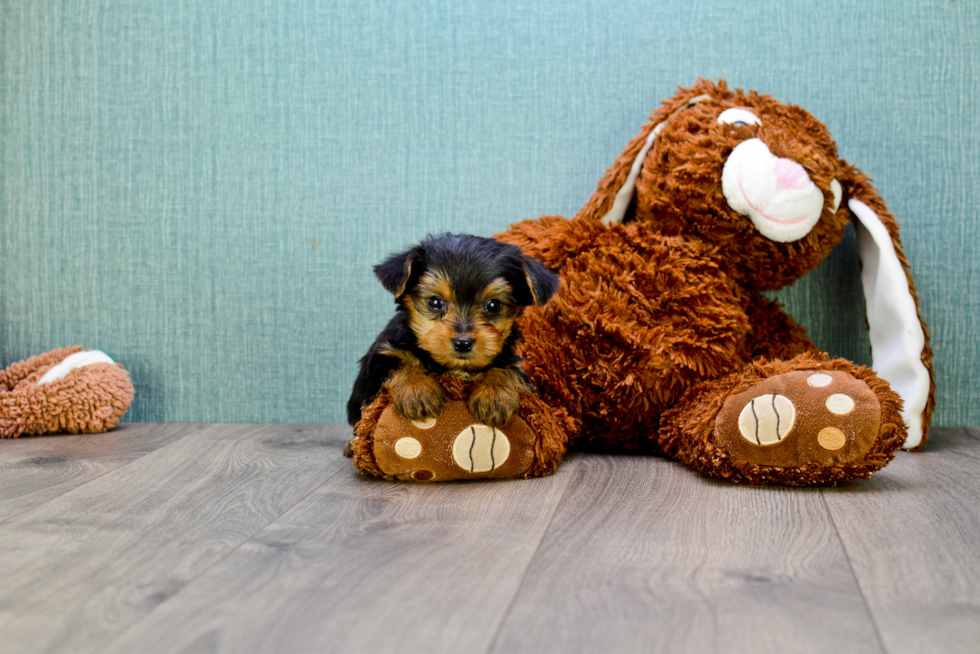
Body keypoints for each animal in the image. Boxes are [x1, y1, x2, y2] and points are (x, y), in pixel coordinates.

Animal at [346, 234, 560, 430]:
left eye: (494, 305)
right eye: (435, 302)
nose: (463, 343)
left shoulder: (511, 361)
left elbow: (504, 369)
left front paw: (494, 396)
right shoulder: (379, 359)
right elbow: (398, 363)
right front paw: (417, 390)